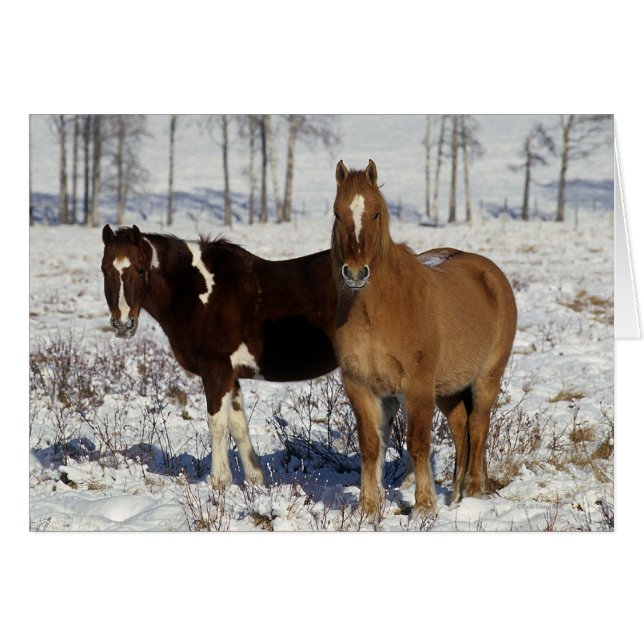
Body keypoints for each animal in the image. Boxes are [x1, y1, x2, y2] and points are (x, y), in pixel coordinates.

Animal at [101, 224, 406, 488]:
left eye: (140, 269)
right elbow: (238, 424)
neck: (197, 292)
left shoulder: (216, 369)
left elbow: (217, 422)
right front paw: (255, 480)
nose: (123, 324)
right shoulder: (230, 374)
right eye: (105, 269)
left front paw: (218, 481)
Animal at [331, 160, 517, 517]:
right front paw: (368, 509)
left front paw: (424, 507)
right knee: (460, 429)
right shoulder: (360, 385)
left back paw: (473, 494)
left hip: (486, 378)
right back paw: (456, 496)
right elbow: (370, 446)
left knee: (478, 425)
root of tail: (491, 274)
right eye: (337, 212)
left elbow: (418, 444)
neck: (378, 310)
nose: (356, 273)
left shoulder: (417, 386)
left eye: (376, 213)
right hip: (447, 389)